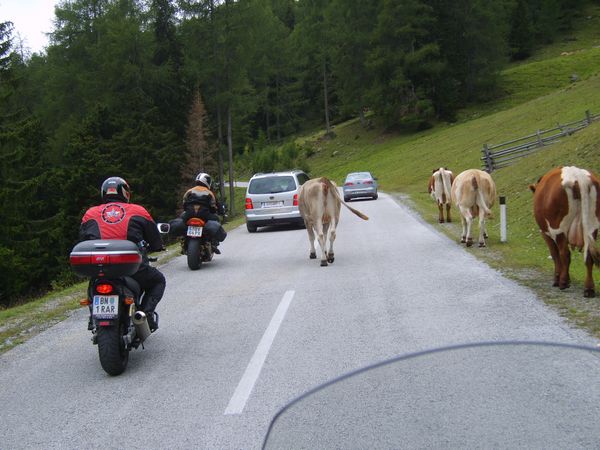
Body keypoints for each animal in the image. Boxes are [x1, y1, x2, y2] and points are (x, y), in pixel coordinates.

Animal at [529, 166, 600, 297]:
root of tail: (578, 176)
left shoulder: (546, 233)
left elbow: (555, 254)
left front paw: (558, 279)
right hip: (592, 227)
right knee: (588, 256)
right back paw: (589, 289)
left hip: (559, 229)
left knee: (564, 254)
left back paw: (563, 282)